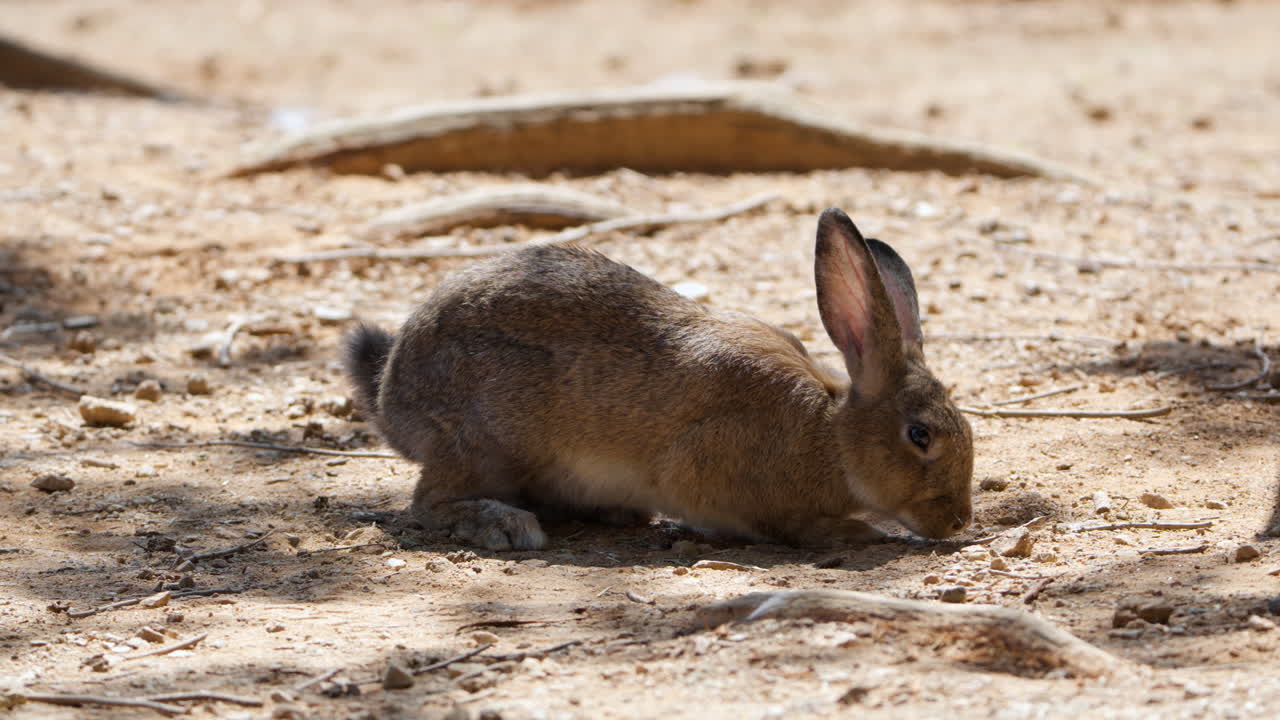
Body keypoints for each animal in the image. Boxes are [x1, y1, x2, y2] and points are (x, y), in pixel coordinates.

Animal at [344, 207, 973, 551]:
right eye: (920, 435)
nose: (958, 520)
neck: (831, 435)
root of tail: (393, 395)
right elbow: (787, 525)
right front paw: (860, 534)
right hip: (484, 442)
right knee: (426, 503)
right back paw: (504, 525)